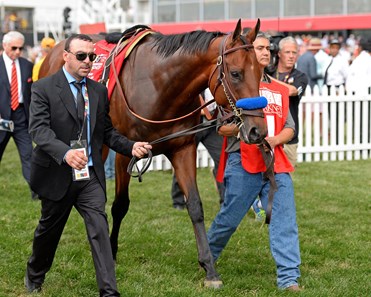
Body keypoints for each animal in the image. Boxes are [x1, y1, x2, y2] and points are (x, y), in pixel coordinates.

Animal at [37, 18, 268, 286]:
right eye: (235, 73)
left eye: (260, 72)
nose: (258, 130)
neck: (159, 85)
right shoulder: (126, 152)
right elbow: (120, 205)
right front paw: (111, 252)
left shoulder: (183, 148)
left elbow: (195, 206)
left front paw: (209, 267)